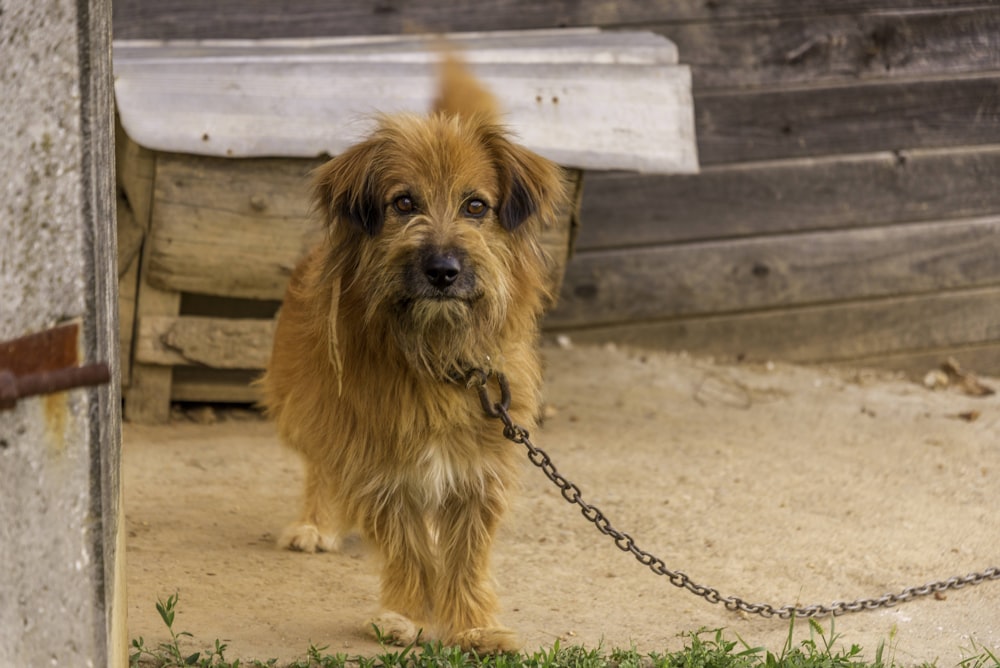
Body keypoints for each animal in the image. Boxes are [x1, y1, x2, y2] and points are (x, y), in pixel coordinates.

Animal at [258, 57, 568, 652]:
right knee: (320, 464)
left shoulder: (478, 470)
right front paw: (409, 616)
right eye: (404, 203)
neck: (435, 355)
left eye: (476, 206)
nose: (443, 270)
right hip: (306, 400)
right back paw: (317, 522)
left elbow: (466, 555)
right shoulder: (380, 463)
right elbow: (409, 546)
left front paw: (473, 625)